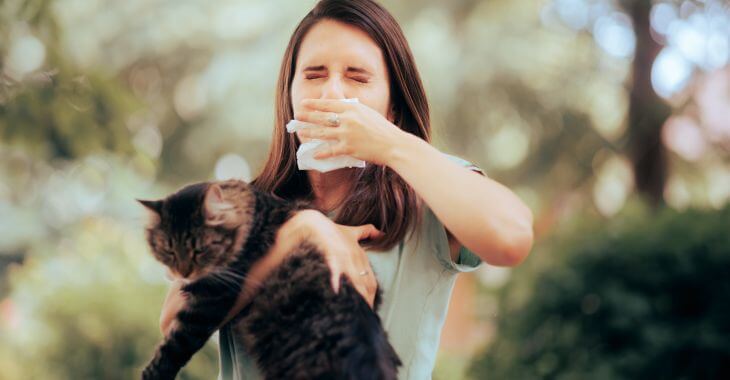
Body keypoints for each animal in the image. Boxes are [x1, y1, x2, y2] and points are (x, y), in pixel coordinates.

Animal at [135, 179, 398, 380]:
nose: (182, 273)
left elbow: (174, 347)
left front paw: (151, 375)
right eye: (168, 250)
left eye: (199, 250)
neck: (255, 212)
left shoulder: (210, 302)